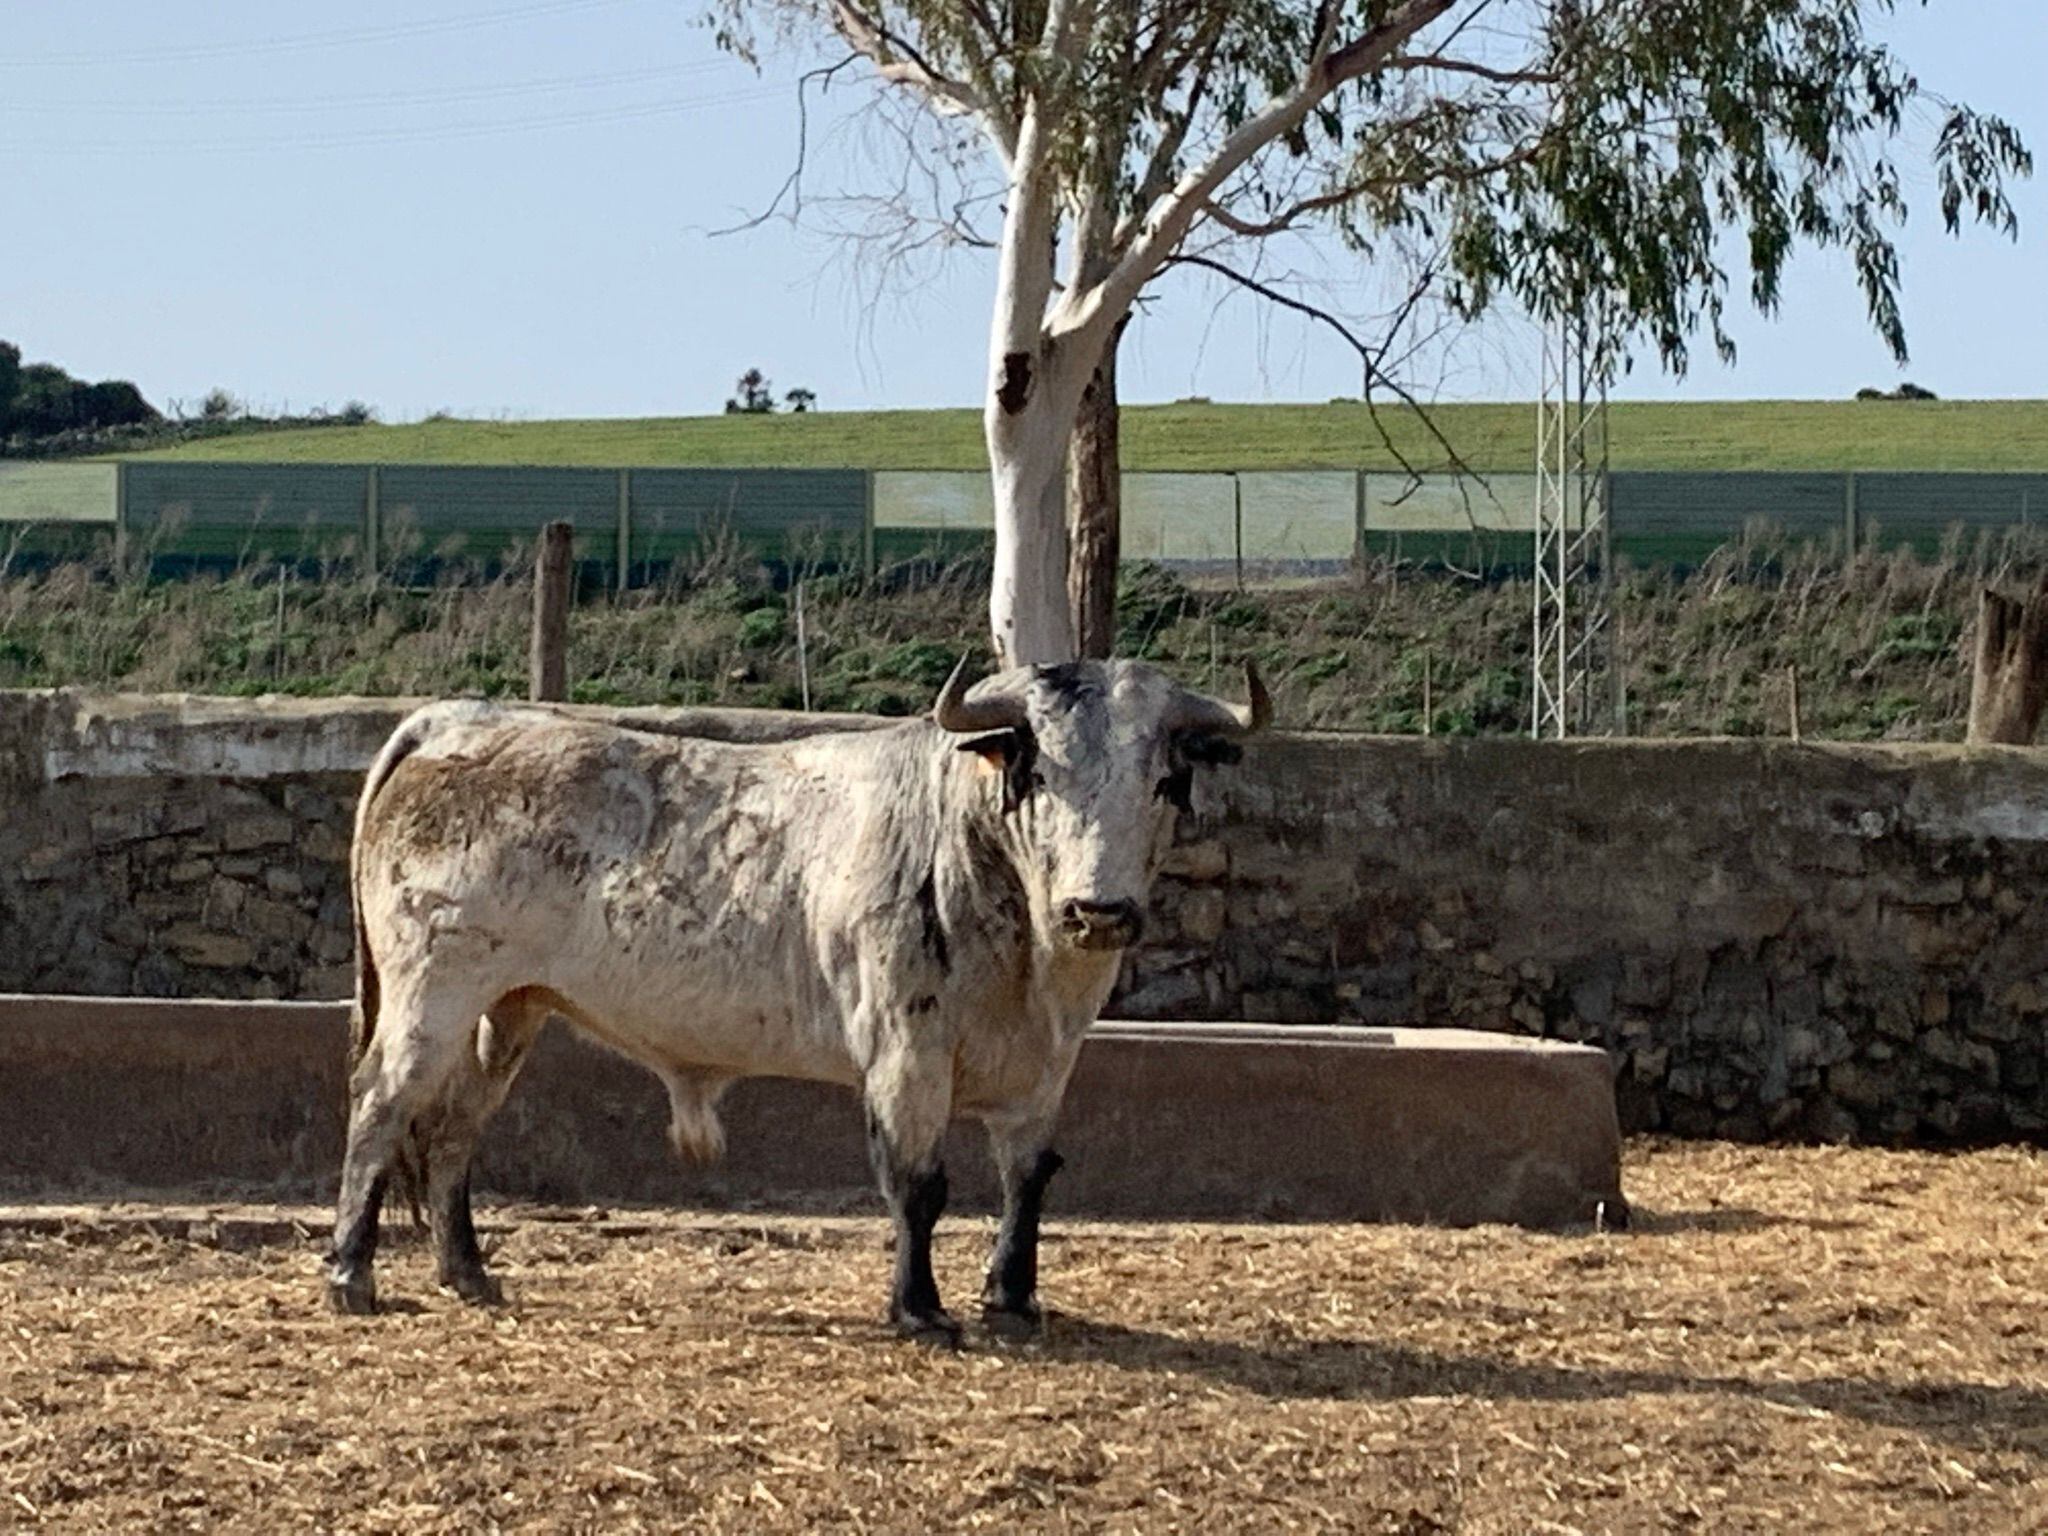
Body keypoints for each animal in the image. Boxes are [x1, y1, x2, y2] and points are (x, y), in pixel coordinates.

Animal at [327, 655, 1261, 1343]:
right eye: (1037, 776)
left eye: (1162, 781)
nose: (1099, 910)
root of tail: (461, 718)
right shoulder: (905, 1056)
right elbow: (918, 1184)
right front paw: (920, 1310)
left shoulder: (1046, 1070)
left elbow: (1027, 1179)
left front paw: (1014, 1298)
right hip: (432, 995)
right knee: (380, 1105)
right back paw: (351, 1272)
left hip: (509, 1009)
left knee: (453, 1129)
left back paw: (468, 1273)